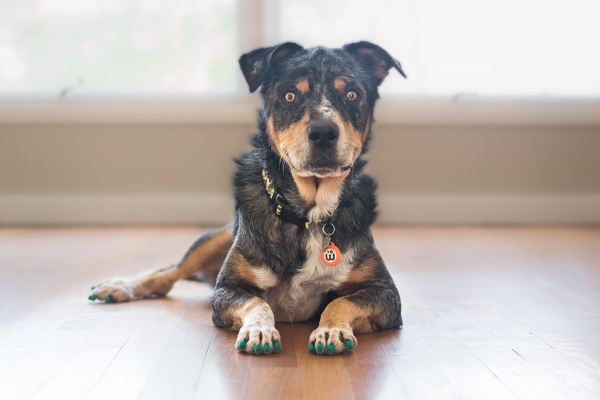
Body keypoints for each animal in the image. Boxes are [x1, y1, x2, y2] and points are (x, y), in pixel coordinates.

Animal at [89, 41, 406, 356]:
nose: (324, 132)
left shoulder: (386, 294)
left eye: (352, 94)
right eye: (290, 95)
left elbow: (340, 300)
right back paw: (121, 286)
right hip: (214, 239)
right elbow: (257, 302)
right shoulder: (228, 288)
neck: (308, 216)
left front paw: (331, 329)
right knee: (167, 273)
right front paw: (259, 329)